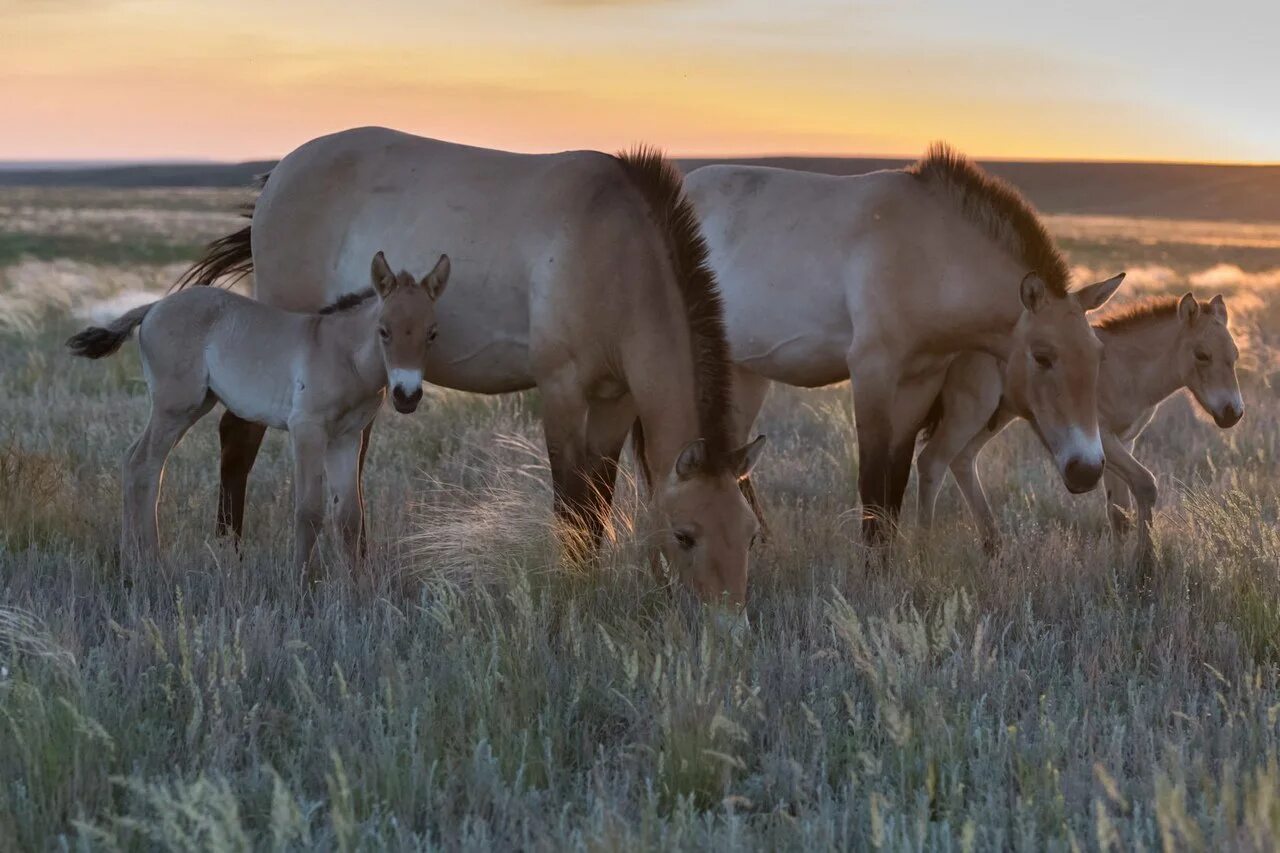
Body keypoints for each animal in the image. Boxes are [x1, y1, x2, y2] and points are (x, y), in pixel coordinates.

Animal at [70, 245, 453, 578]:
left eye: (432, 334)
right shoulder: (307, 430)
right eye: (384, 331)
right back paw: (147, 562)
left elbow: (348, 516)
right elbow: (309, 510)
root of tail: (153, 307)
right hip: (174, 407)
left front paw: (356, 589)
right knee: (143, 464)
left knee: (138, 462)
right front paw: (302, 584)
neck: (342, 355)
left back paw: (133, 561)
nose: (407, 396)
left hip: (195, 405)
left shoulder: (346, 438)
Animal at [175, 126, 762, 607]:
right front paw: (571, 588)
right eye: (685, 535)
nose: (728, 621)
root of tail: (279, 173)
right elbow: (570, 502)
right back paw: (230, 553)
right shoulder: (561, 390)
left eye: (750, 534)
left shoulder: (615, 400)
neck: (614, 249)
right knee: (238, 438)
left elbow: (596, 500)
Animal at [686, 144, 1126, 545]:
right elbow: (872, 485)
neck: (931, 258)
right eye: (1042, 356)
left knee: (737, 457)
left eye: (1099, 356)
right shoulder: (872, 373)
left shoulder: (921, 381)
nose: (1087, 470)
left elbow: (894, 484)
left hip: (746, 372)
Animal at [916, 294, 1244, 558]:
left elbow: (1119, 514)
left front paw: (1120, 569)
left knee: (962, 459)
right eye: (1202, 355)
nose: (1233, 413)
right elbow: (1145, 484)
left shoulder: (1124, 442)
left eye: (1235, 355)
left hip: (996, 416)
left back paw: (992, 546)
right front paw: (1145, 566)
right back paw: (925, 555)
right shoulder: (1104, 439)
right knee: (932, 461)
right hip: (971, 410)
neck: (1127, 370)